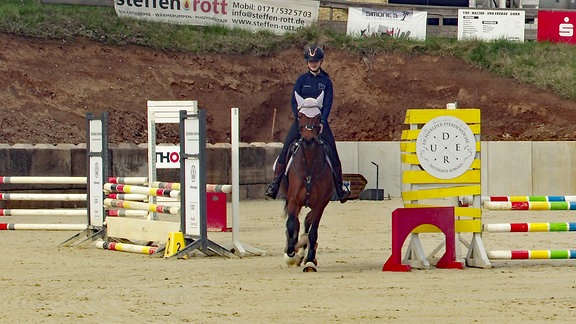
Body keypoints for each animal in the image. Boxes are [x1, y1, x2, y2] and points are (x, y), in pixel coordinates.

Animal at [282, 92, 336, 272]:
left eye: (318, 116)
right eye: (300, 115)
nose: (308, 140)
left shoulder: (320, 204)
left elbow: (313, 232)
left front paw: (310, 260)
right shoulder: (293, 200)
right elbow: (292, 225)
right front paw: (291, 252)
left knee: (308, 222)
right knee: (297, 224)